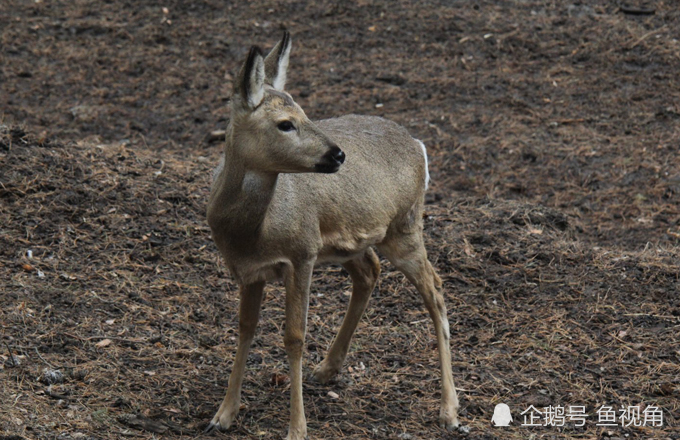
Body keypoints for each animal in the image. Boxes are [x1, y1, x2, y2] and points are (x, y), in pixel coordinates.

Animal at [205, 31, 460, 440]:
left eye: (306, 114)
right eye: (285, 123)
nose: (338, 155)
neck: (251, 232)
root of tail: (419, 145)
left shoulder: (302, 253)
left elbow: (294, 336)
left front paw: (296, 429)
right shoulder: (247, 270)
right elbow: (245, 328)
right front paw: (224, 414)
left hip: (404, 227)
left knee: (434, 289)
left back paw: (449, 409)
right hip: (354, 241)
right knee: (370, 271)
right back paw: (327, 368)